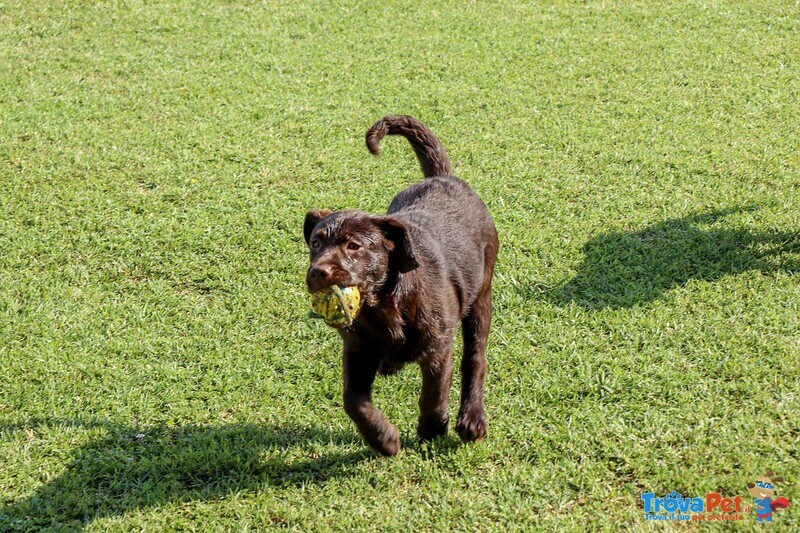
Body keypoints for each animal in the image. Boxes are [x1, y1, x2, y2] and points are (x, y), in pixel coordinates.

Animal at [304, 115, 496, 454]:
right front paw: (384, 440)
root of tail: (444, 177)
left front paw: (431, 431)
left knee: (475, 358)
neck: (383, 307)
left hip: (480, 297)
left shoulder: (437, 350)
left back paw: (472, 418)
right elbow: (354, 401)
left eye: (354, 246)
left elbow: (433, 395)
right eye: (315, 243)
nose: (318, 272)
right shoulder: (357, 350)